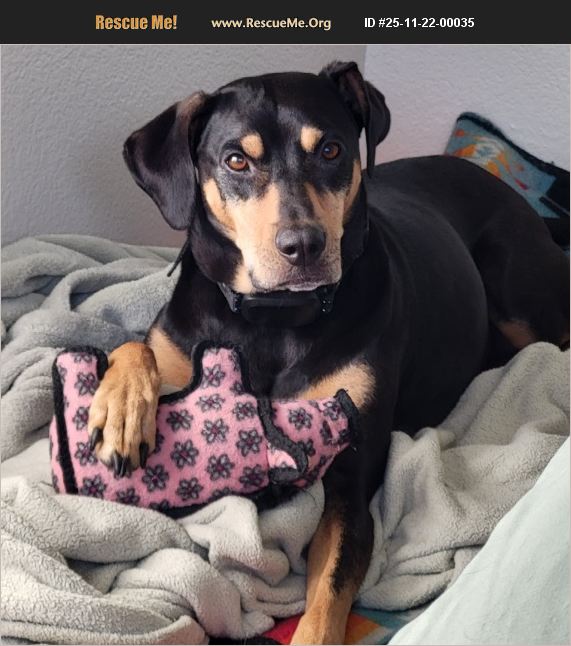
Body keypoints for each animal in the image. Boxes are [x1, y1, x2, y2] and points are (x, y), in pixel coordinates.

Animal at [87, 61, 569, 644]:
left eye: (332, 150)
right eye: (236, 160)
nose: (303, 247)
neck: (273, 318)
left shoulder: (350, 481)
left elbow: (327, 596)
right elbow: (135, 346)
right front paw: (121, 412)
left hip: (523, 296)